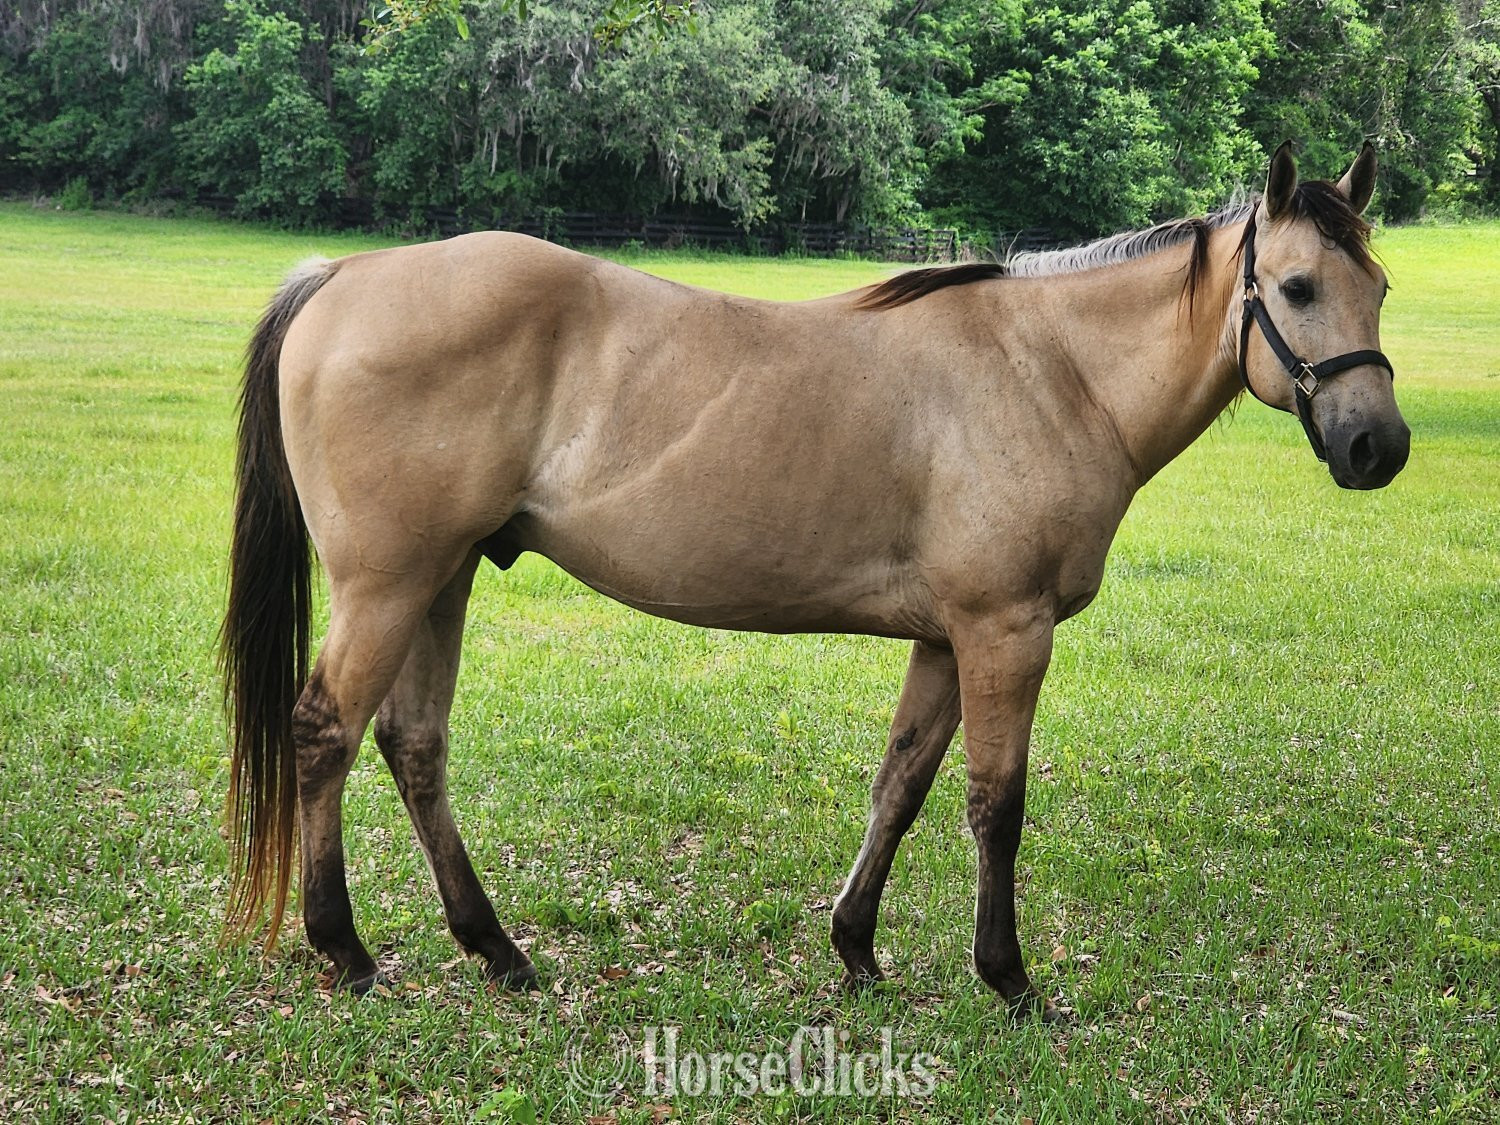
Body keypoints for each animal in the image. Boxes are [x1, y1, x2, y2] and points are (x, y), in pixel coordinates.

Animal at [222, 143, 1408, 1020]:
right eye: (1298, 287)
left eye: (1380, 288)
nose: (1378, 447)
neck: (1052, 370)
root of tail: (345, 276)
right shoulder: (1006, 632)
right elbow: (996, 805)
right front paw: (1008, 978)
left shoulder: (946, 637)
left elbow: (902, 786)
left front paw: (857, 948)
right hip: (389, 584)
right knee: (325, 732)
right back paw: (347, 950)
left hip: (444, 578)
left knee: (414, 746)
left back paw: (496, 948)